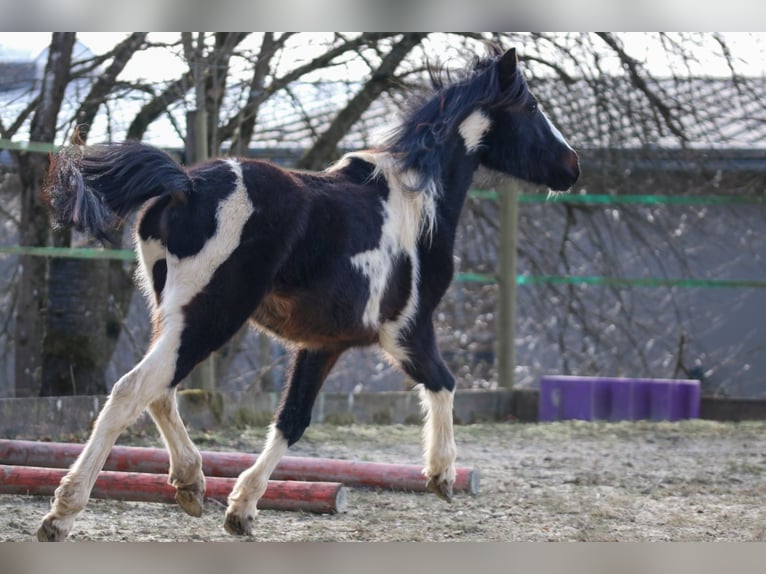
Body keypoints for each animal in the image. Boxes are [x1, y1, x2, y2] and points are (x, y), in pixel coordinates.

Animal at [37, 47, 579, 541]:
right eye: (532, 106)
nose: (572, 167)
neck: (420, 202)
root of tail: (185, 183)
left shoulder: (321, 343)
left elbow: (291, 420)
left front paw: (241, 510)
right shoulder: (406, 330)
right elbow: (443, 383)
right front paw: (442, 474)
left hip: (171, 313)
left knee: (161, 392)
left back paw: (191, 483)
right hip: (210, 315)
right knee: (134, 390)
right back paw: (63, 512)